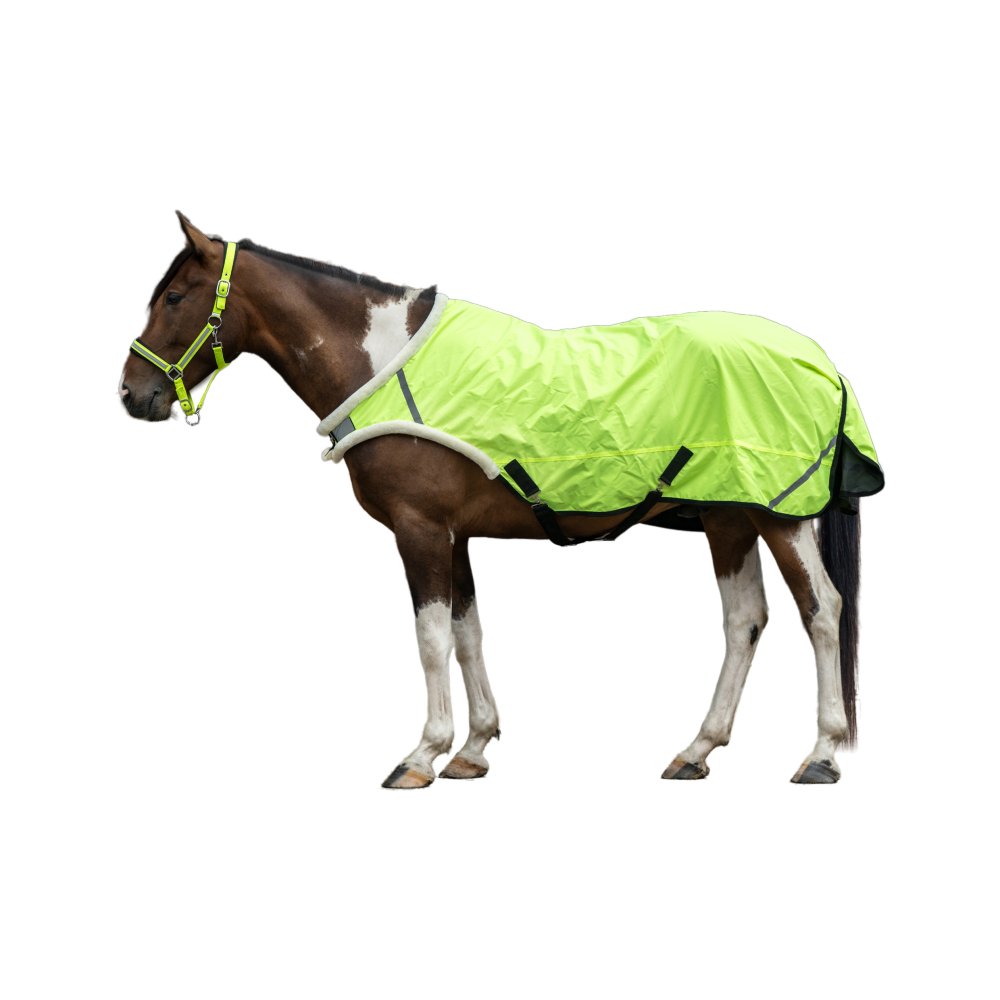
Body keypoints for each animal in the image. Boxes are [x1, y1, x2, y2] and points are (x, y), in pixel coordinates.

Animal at [119, 212, 883, 788]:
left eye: (176, 297)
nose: (133, 394)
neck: (380, 359)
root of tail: (820, 361)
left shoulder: (420, 530)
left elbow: (430, 639)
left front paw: (422, 754)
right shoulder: (454, 534)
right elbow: (467, 633)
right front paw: (473, 748)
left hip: (778, 515)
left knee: (822, 611)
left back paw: (820, 753)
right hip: (729, 519)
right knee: (745, 620)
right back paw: (696, 750)